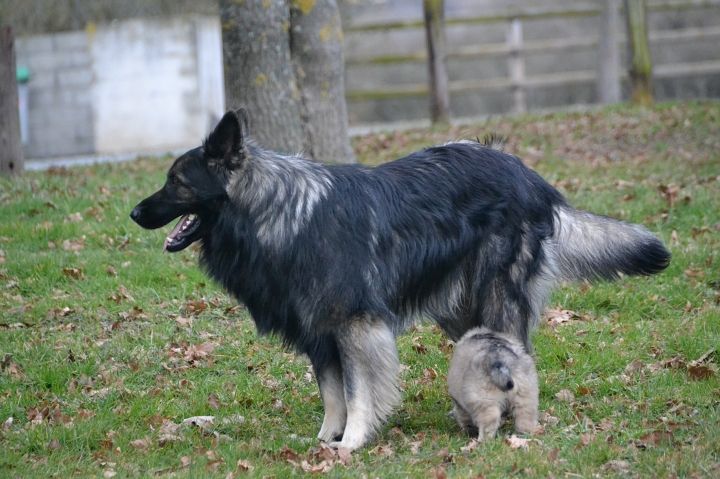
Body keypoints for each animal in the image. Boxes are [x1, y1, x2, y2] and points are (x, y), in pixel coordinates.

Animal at [130, 109, 669, 450]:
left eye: (177, 182)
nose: (133, 214)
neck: (279, 214)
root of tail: (528, 175)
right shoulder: (320, 335)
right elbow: (331, 394)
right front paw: (324, 440)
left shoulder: (355, 325)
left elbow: (357, 392)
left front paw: (352, 442)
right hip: (459, 311)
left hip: (494, 299)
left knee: (520, 357)